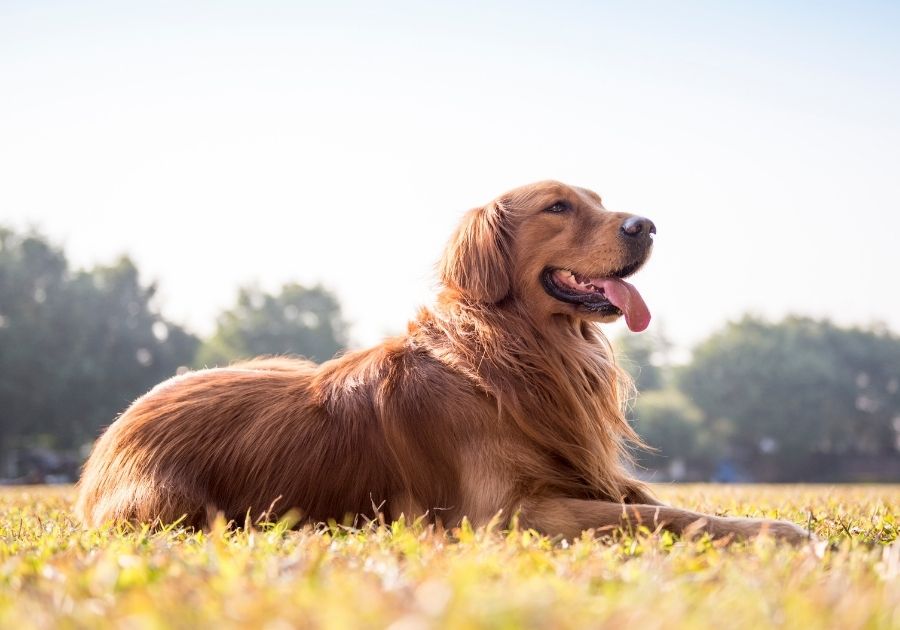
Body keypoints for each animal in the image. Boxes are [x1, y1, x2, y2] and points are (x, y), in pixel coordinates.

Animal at [75, 181, 808, 544]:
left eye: (601, 203)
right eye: (559, 206)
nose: (647, 225)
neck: (521, 352)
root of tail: (108, 440)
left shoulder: (585, 475)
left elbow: (668, 503)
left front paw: (766, 524)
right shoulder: (507, 514)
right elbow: (658, 516)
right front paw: (781, 530)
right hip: (175, 507)